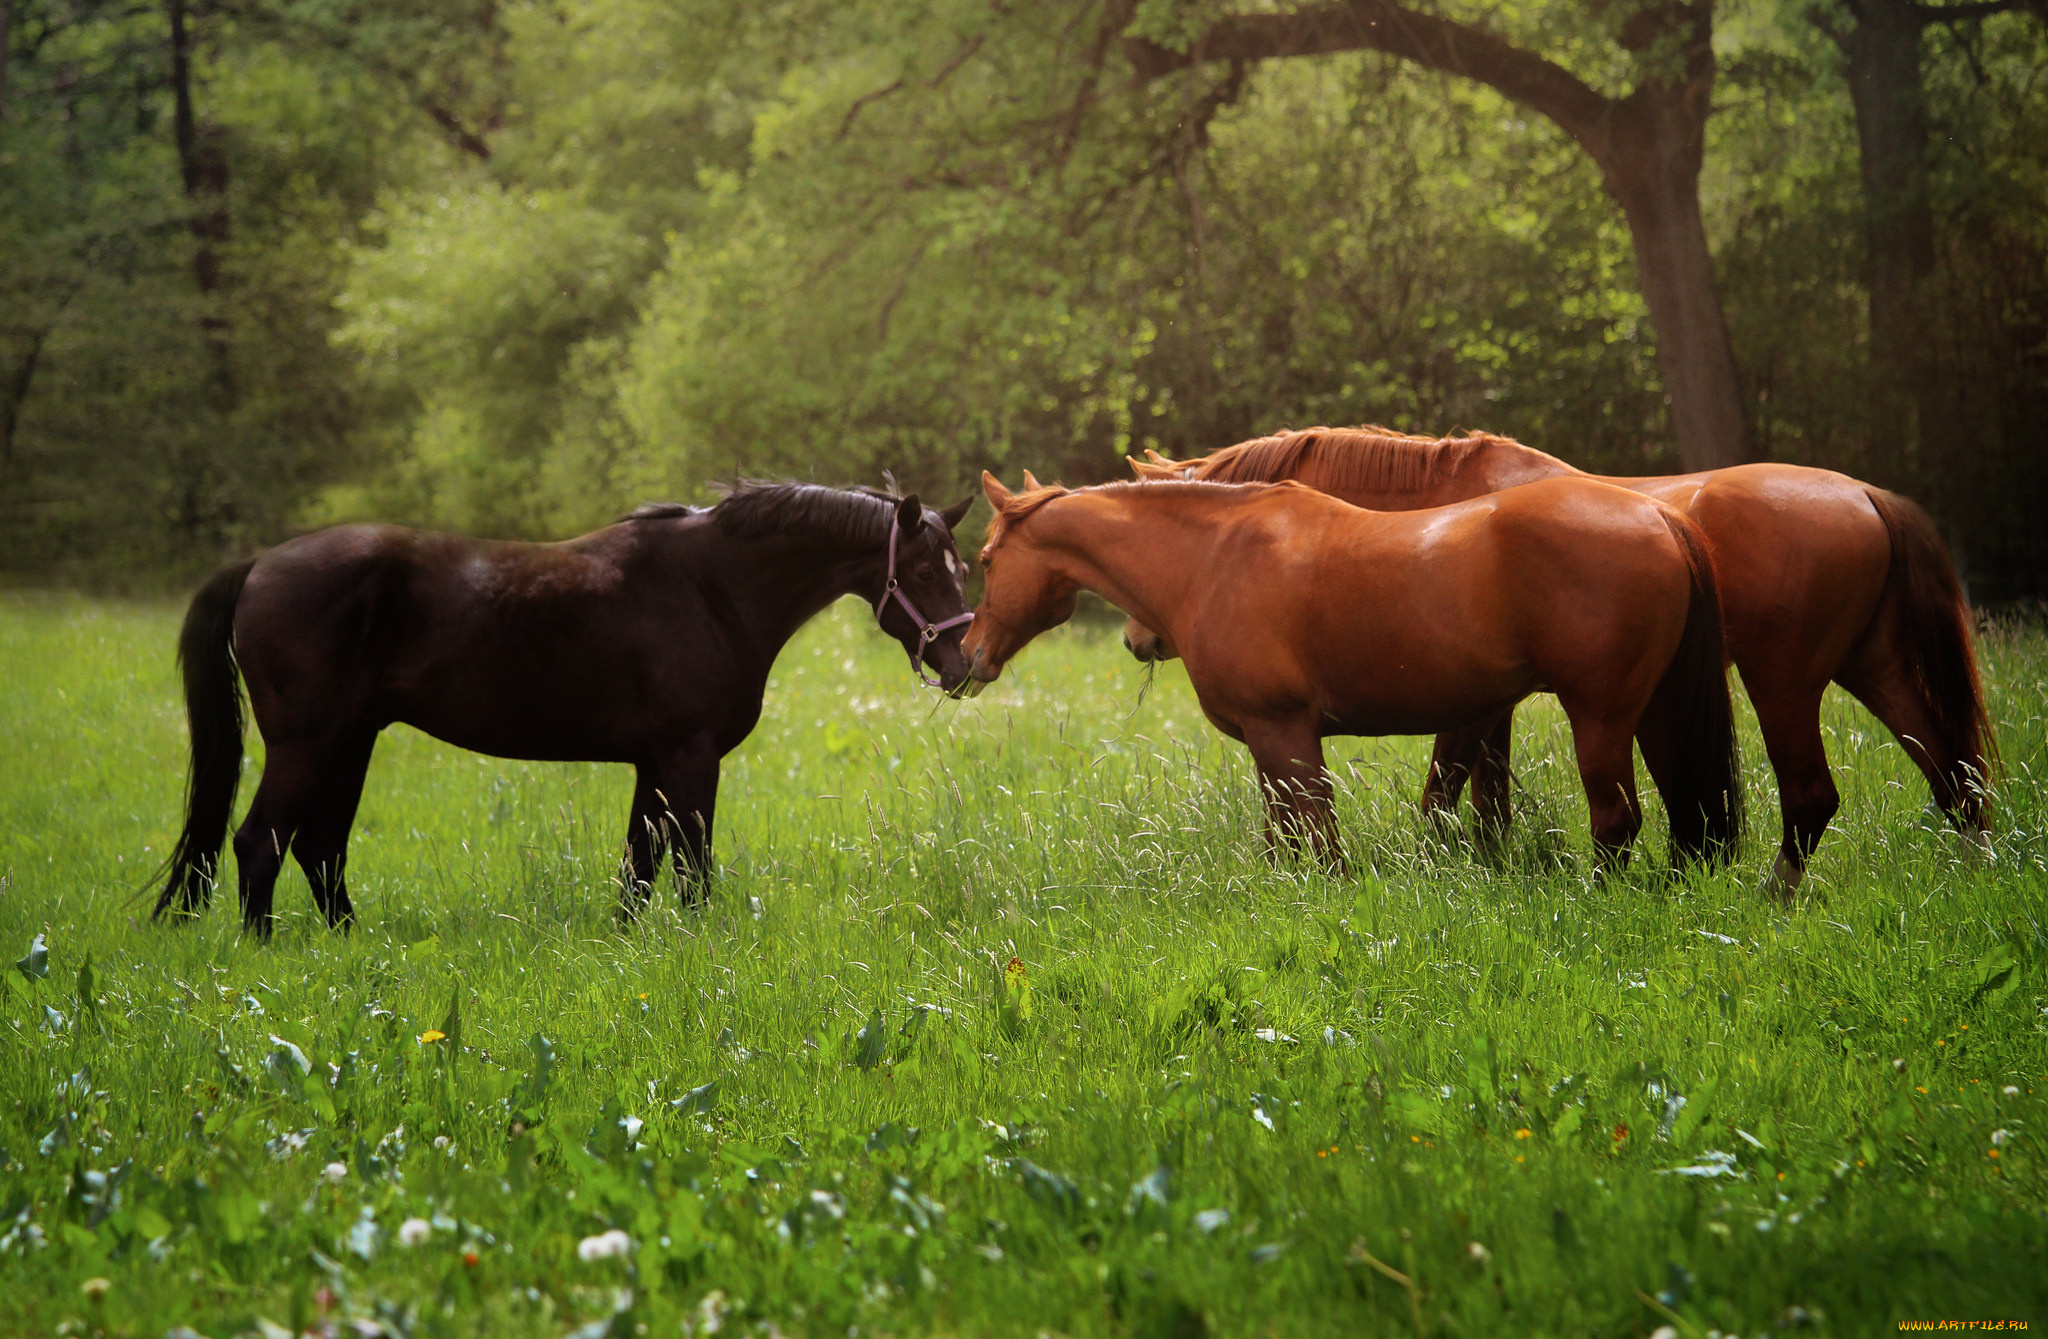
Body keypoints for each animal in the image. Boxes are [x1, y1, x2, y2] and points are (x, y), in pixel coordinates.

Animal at [153, 487, 974, 937]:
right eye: (922, 569)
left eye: (962, 566)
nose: (966, 664)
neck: (710, 588)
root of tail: (260, 564)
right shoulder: (690, 757)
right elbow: (690, 868)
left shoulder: (656, 761)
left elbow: (639, 865)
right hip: (306, 743)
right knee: (260, 843)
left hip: (350, 742)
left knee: (320, 850)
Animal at [966, 477, 1736, 876]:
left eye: (983, 559)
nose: (968, 657)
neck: (1214, 557)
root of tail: (1658, 513)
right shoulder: (1271, 748)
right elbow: (1282, 841)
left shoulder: (1285, 735)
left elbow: (1321, 845)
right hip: (1657, 711)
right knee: (1686, 812)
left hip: (1601, 716)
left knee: (1617, 821)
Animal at [1130, 429, 1990, 892]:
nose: (1140, 639)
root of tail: (1866, 495)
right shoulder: (1491, 703)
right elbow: (1484, 801)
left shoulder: (1474, 705)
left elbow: (1445, 794)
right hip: (1872, 668)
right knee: (1954, 776)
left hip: (1784, 682)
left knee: (1812, 796)